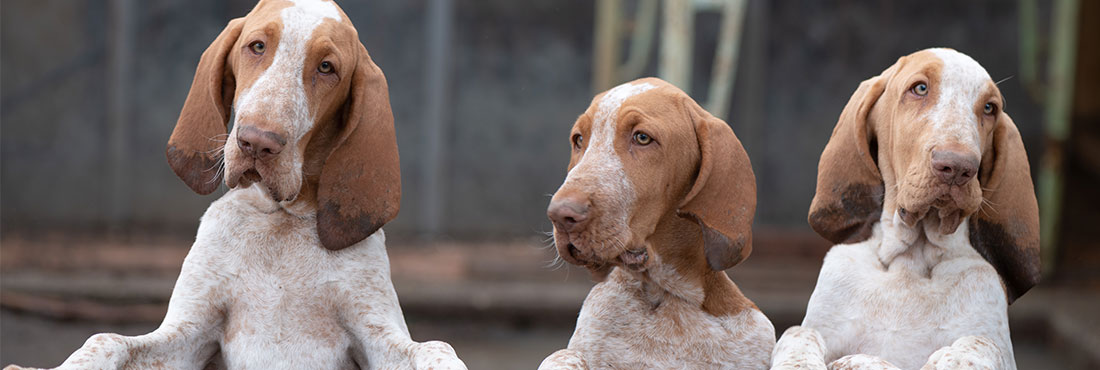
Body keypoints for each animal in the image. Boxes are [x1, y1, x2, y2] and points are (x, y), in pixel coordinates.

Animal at [1, 0, 464, 370]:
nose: (256, 142)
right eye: (257, 46)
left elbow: (437, 347)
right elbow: (106, 339)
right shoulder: (191, 331)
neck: (280, 219)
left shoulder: (374, 333)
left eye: (326, 67)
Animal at [770, 48, 1034, 370]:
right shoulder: (819, 323)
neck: (912, 259)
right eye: (919, 88)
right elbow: (798, 333)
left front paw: (955, 360)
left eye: (989, 108)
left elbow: (979, 342)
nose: (958, 167)